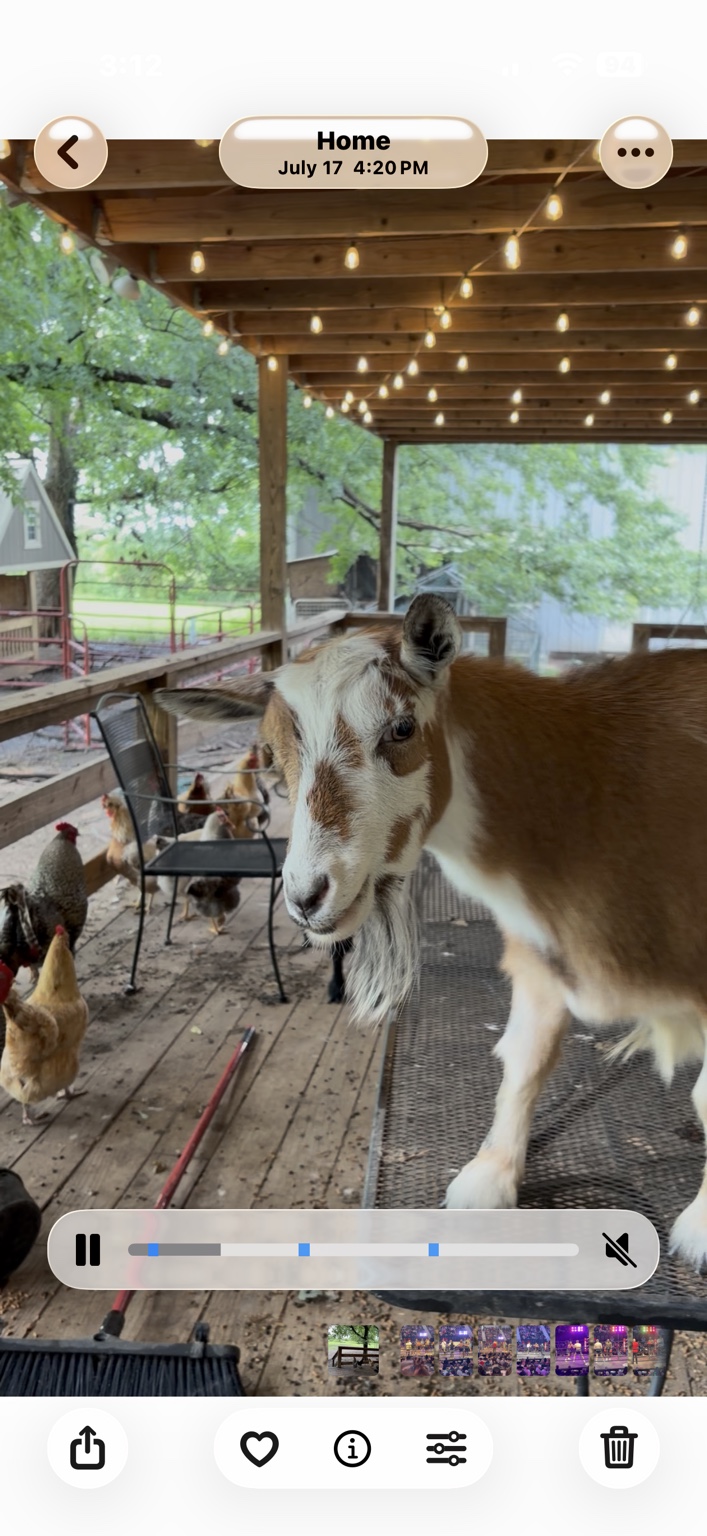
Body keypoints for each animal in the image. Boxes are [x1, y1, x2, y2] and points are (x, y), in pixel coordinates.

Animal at [157, 593, 707, 1271]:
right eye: (271, 749)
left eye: (401, 729)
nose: (309, 896)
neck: (591, 797)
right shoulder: (537, 956)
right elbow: (523, 1057)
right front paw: (489, 1179)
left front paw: (701, 1229)